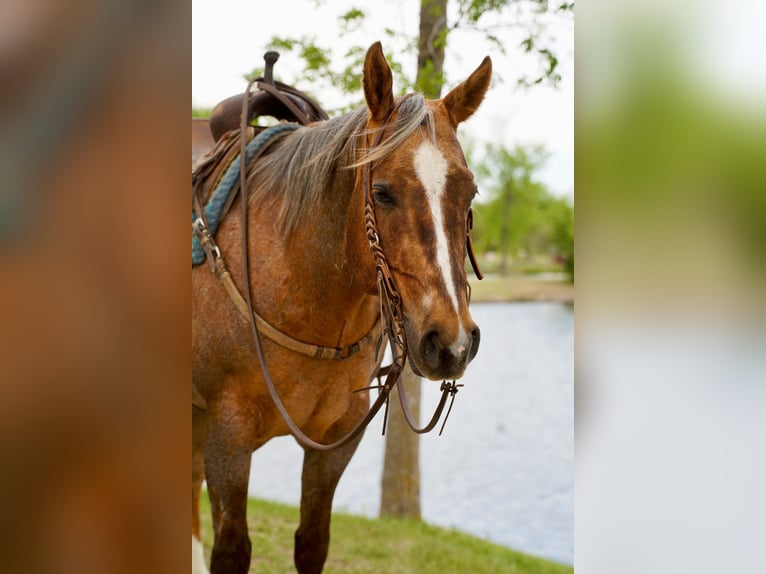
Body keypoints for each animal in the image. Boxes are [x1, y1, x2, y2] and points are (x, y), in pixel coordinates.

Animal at [192, 42, 492, 574]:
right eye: (382, 192)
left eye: (470, 192)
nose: (451, 342)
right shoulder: (227, 436)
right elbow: (230, 549)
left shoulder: (339, 439)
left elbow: (313, 541)